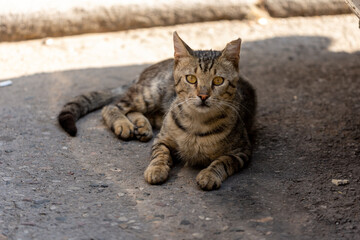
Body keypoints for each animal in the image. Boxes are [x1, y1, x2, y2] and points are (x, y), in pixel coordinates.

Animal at [59, 31, 256, 190]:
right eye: (191, 79)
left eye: (218, 81)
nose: (203, 95)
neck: (197, 122)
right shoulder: (162, 139)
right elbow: (160, 154)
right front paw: (156, 169)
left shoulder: (242, 151)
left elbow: (223, 161)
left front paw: (209, 174)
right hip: (149, 93)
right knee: (113, 106)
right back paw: (124, 124)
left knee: (134, 111)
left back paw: (142, 126)